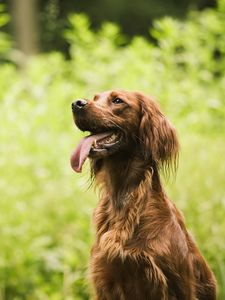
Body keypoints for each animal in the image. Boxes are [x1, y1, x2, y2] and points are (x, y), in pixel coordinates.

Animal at [70, 90, 216, 298]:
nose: (76, 103)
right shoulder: (105, 279)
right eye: (95, 98)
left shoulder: (177, 284)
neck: (123, 199)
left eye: (117, 100)